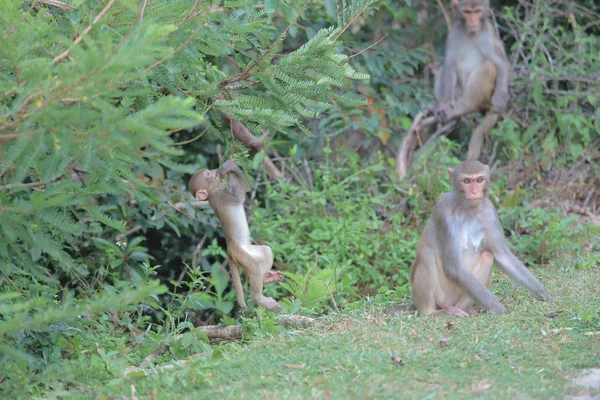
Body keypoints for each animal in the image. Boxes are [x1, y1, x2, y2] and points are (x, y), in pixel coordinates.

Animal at [189, 157, 282, 312]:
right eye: (207, 174)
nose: (214, 171)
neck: (215, 188)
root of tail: (230, 248)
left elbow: (246, 188)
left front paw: (231, 165)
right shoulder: (217, 195)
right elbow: (239, 197)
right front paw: (230, 167)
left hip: (247, 250)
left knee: (266, 252)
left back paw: (266, 278)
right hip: (240, 254)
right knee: (254, 269)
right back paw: (258, 298)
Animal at [410, 159, 552, 316]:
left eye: (479, 180)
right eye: (466, 181)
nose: (474, 192)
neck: (468, 210)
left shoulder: (489, 213)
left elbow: (502, 255)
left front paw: (544, 294)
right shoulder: (445, 215)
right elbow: (454, 267)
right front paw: (497, 308)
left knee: (487, 256)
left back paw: (464, 309)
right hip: (442, 295)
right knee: (426, 254)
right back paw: (431, 312)